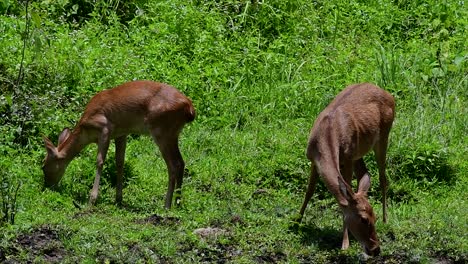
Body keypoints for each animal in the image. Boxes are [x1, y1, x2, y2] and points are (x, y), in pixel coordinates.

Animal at [41, 80, 196, 208]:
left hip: (161, 130)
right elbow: (120, 161)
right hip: (173, 133)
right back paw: (178, 202)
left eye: (43, 166)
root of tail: (189, 108)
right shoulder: (121, 133)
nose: (46, 186)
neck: (86, 130)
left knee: (173, 164)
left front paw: (92, 200)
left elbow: (100, 161)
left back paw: (167, 205)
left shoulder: (105, 128)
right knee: (181, 162)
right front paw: (118, 199)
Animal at [298, 83, 394, 256]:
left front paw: (345, 243)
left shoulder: (347, 159)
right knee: (365, 174)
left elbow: (343, 198)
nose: (376, 249)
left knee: (383, 179)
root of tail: (389, 95)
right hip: (359, 153)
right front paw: (296, 221)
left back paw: (386, 219)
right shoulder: (314, 160)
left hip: (383, 137)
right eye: (364, 218)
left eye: (374, 217)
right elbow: (309, 191)